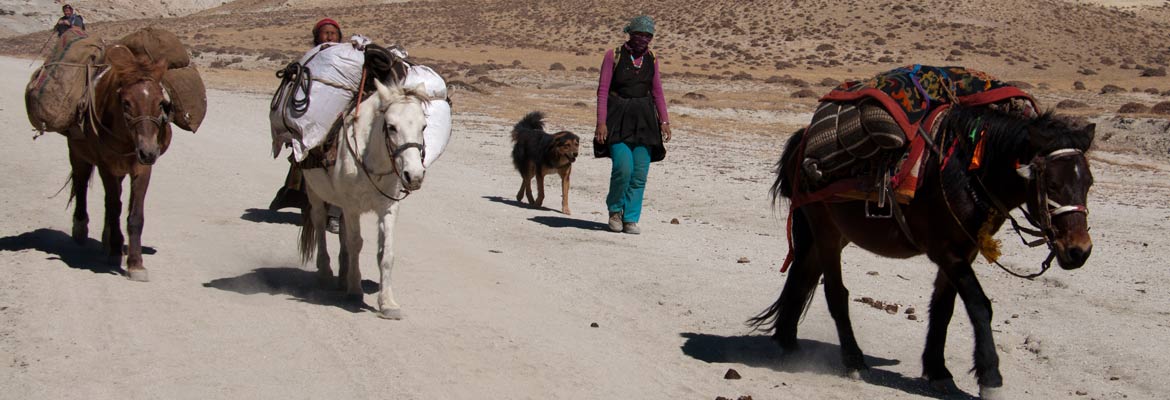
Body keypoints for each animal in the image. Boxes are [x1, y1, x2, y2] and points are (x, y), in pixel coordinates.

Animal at [66, 44, 171, 280]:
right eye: (126, 103)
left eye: (161, 103)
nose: (149, 152)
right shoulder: (106, 166)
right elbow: (113, 206)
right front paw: (115, 252)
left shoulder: (142, 169)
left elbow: (135, 216)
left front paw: (136, 264)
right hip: (77, 154)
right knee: (81, 182)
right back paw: (81, 229)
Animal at [301, 79, 430, 320]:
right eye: (391, 126)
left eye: (423, 126)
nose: (415, 176)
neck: (373, 161)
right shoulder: (352, 207)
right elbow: (356, 243)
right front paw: (355, 291)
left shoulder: (388, 207)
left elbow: (386, 253)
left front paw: (388, 303)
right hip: (315, 193)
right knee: (320, 223)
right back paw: (326, 272)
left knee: (342, 230)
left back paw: (342, 276)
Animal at [748, 104, 1095, 397]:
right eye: (1051, 184)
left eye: (1089, 182)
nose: (1079, 251)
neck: (965, 174)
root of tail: (802, 140)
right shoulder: (946, 251)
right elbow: (979, 306)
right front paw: (990, 378)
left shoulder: (964, 251)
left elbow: (943, 308)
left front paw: (938, 371)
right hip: (827, 231)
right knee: (835, 292)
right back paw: (853, 360)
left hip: (833, 233)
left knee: (802, 274)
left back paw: (788, 341)